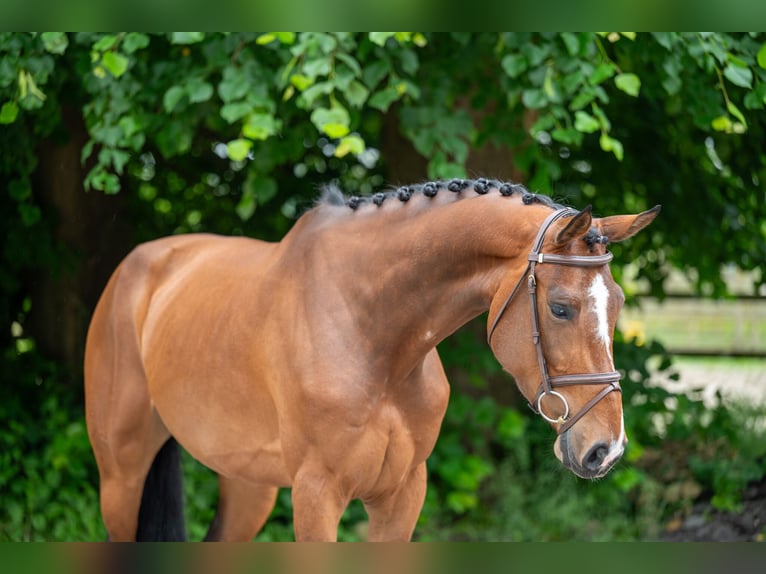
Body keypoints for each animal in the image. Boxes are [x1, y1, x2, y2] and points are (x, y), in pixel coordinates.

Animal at [85, 178, 660, 544]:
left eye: (618, 304)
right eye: (560, 308)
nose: (606, 450)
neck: (374, 340)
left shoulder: (402, 494)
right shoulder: (317, 496)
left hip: (248, 484)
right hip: (121, 477)